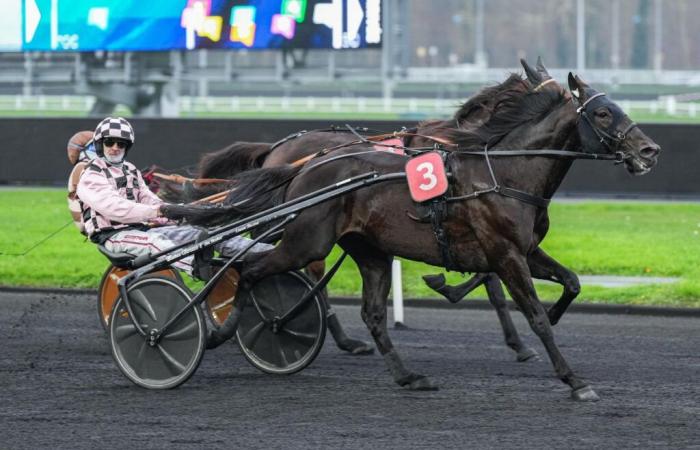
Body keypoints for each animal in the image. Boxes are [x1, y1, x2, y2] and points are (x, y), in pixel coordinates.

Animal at [165, 71, 660, 400]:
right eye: (602, 112)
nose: (649, 149)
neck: (503, 172)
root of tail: (301, 166)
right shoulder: (504, 252)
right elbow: (529, 311)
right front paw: (572, 379)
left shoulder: (524, 250)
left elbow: (570, 283)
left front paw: (547, 322)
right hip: (306, 239)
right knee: (251, 269)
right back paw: (221, 329)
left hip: (368, 251)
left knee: (370, 313)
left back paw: (406, 375)